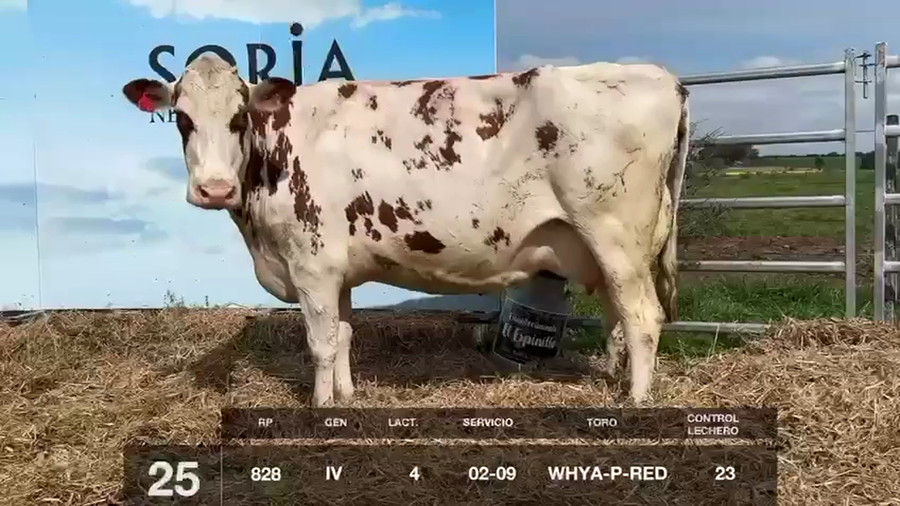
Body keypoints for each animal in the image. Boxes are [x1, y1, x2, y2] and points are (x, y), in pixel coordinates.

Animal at [122, 53, 689, 407]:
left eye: (239, 118)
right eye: (182, 120)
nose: (214, 189)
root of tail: (664, 78)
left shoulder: (312, 263)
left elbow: (320, 342)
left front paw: (320, 405)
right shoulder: (339, 270)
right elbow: (344, 334)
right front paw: (347, 396)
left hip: (615, 234)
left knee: (643, 318)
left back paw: (636, 399)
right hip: (616, 248)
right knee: (622, 318)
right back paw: (618, 381)